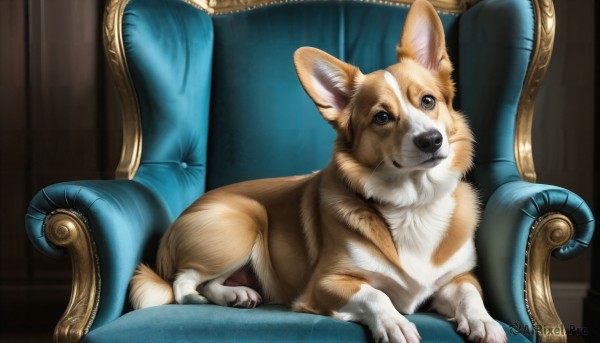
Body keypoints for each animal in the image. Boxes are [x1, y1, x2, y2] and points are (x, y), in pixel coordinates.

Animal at [130, 1, 506, 342]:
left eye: (428, 101)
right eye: (382, 117)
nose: (431, 140)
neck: (414, 203)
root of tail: (176, 224)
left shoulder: (459, 277)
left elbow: (471, 294)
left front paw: (484, 322)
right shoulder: (326, 283)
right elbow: (377, 295)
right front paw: (395, 324)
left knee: (207, 282)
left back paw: (237, 294)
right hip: (246, 221)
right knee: (181, 284)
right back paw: (204, 297)